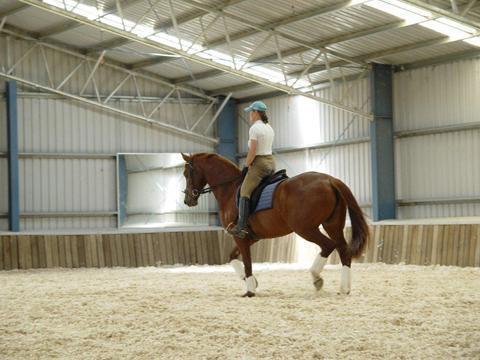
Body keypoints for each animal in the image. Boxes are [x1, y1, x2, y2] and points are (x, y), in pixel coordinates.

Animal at [182, 153, 370, 296]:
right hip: (332, 225)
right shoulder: (252, 237)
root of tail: (329, 179)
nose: (187, 200)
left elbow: (247, 262)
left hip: (305, 229)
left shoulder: (239, 236)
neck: (229, 188)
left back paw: (316, 278)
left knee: (328, 245)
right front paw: (251, 281)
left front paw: (250, 290)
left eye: (186, 174)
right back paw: (344, 289)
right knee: (343, 250)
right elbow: (232, 257)